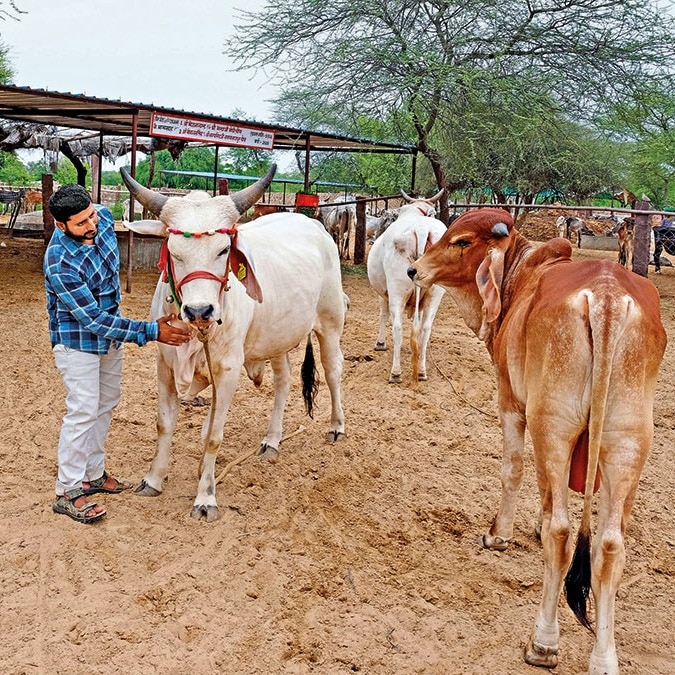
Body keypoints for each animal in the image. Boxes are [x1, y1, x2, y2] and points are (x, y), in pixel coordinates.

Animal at [120, 164, 346, 522]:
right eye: (174, 252)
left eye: (223, 250)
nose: (200, 311)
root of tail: (313, 225)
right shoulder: (165, 364)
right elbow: (164, 424)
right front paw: (153, 479)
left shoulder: (227, 369)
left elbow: (213, 435)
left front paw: (205, 496)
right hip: (277, 337)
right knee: (283, 382)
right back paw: (272, 440)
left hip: (330, 323)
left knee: (333, 370)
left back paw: (337, 426)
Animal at [367, 190, 446, 383]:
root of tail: (422, 229)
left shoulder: (384, 293)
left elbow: (383, 314)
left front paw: (380, 343)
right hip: (435, 293)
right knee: (425, 328)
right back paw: (422, 371)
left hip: (397, 289)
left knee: (397, 327)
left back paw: (395, 372)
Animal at [408, 208, 666, 675]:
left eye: (461, 241)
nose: (415, 270)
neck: (521, 276)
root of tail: (606, 299)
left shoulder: (511, 402)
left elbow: (513, 470)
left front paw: (500, 534)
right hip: (627, 440)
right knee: (609, 545)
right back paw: (604, 659)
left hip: (553, 426)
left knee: (563, 532)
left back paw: (543, 642)